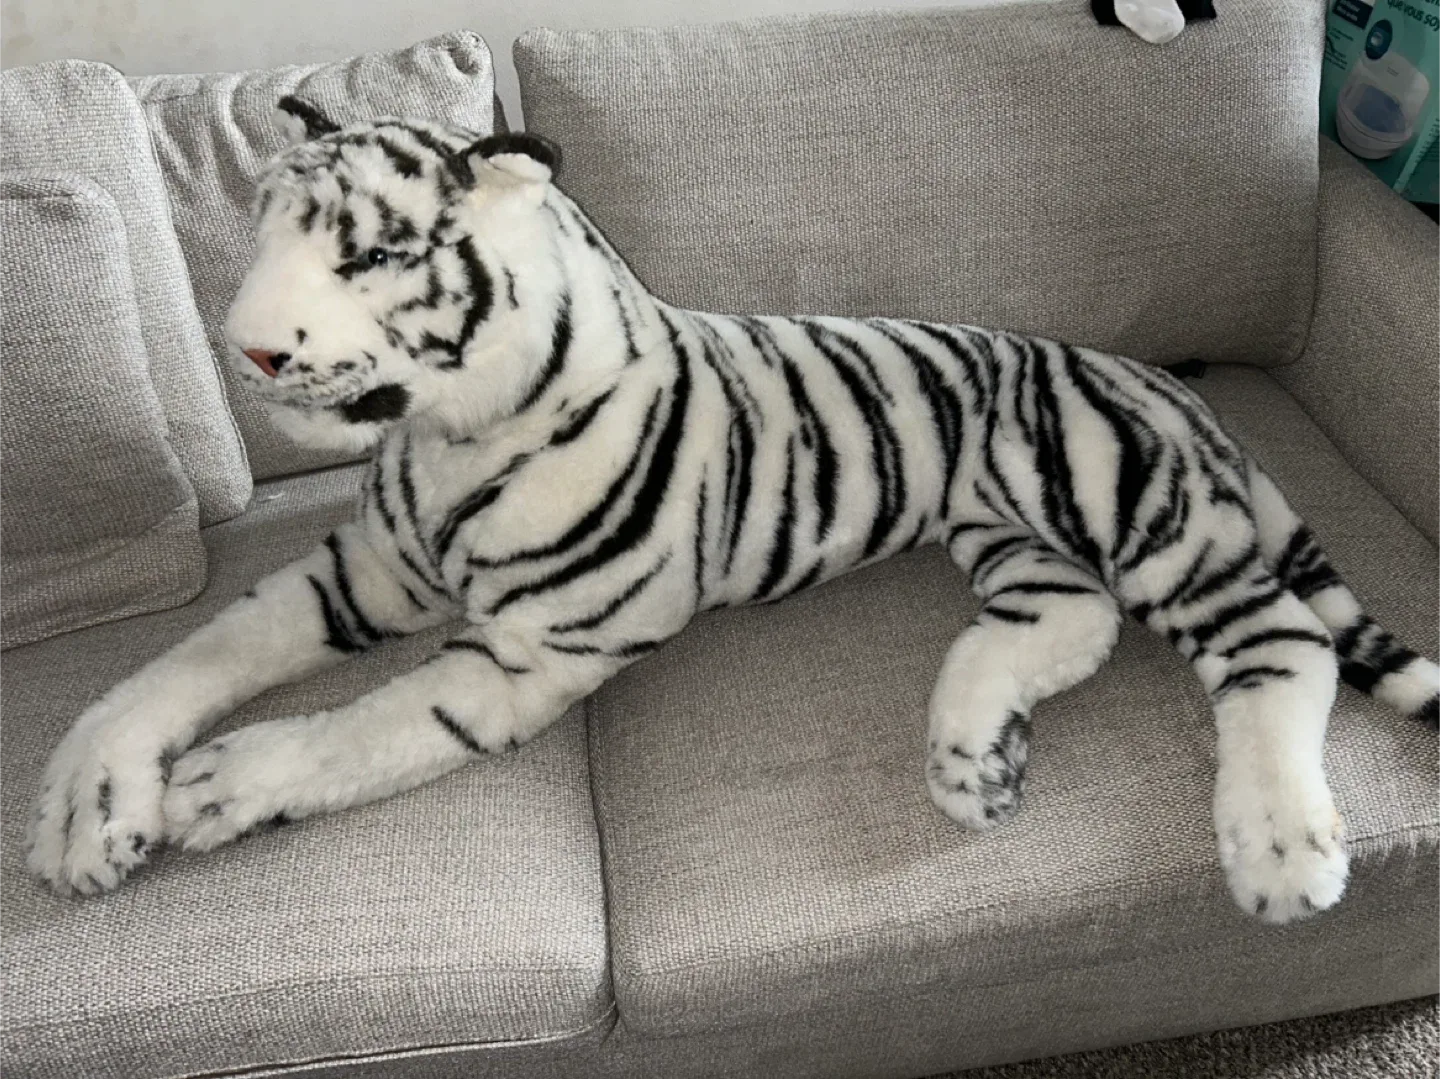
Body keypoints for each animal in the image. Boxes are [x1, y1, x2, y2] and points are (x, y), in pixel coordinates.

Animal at [26, 96, 1440, 925]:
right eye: (265, 236)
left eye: (371, 254)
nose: (249, 349)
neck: (445, 437)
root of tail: (1162, 378)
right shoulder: (361, 572)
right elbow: (191, 655)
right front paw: (89, 801)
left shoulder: (529, 654)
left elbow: (357, 728)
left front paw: (222, 782)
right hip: (1005, 530)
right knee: (1070, 624)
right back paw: (972, 755)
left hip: (1120, 500)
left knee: (1278, 640)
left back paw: (1281, 849)